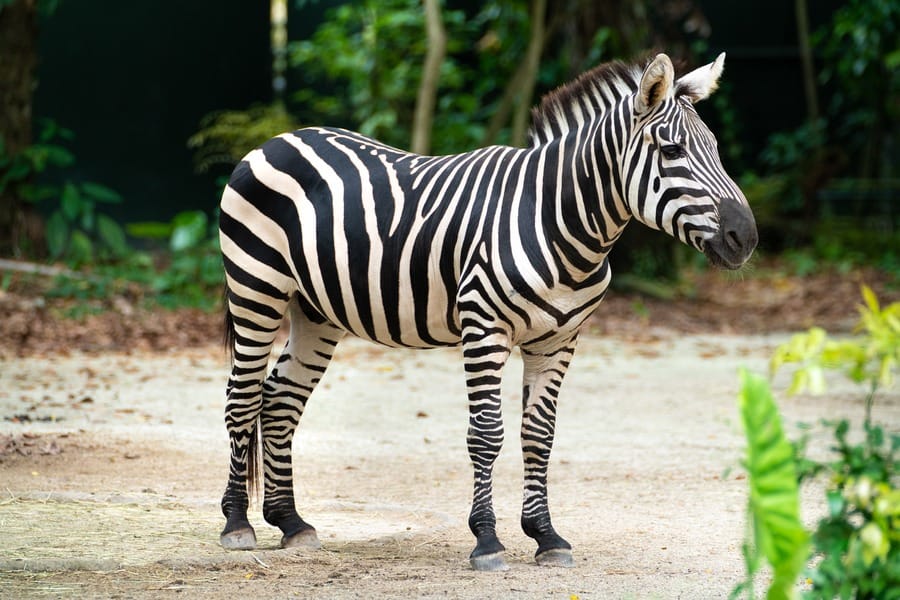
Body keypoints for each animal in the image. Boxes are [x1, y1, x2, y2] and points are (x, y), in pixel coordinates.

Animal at [214, 52, 756, 572]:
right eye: (672, 151)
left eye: (716, 149)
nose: (746, 237)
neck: (559, 221)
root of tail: (279, 139)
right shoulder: (484, 328)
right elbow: (487, 434)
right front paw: (487, 540)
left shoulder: (558, 340)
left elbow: (539, 435)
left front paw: (546, 536)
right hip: (256, 288)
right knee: (243, 397)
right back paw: (238, 524)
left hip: (316, 310)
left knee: (280, 399)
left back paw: (290, 522)